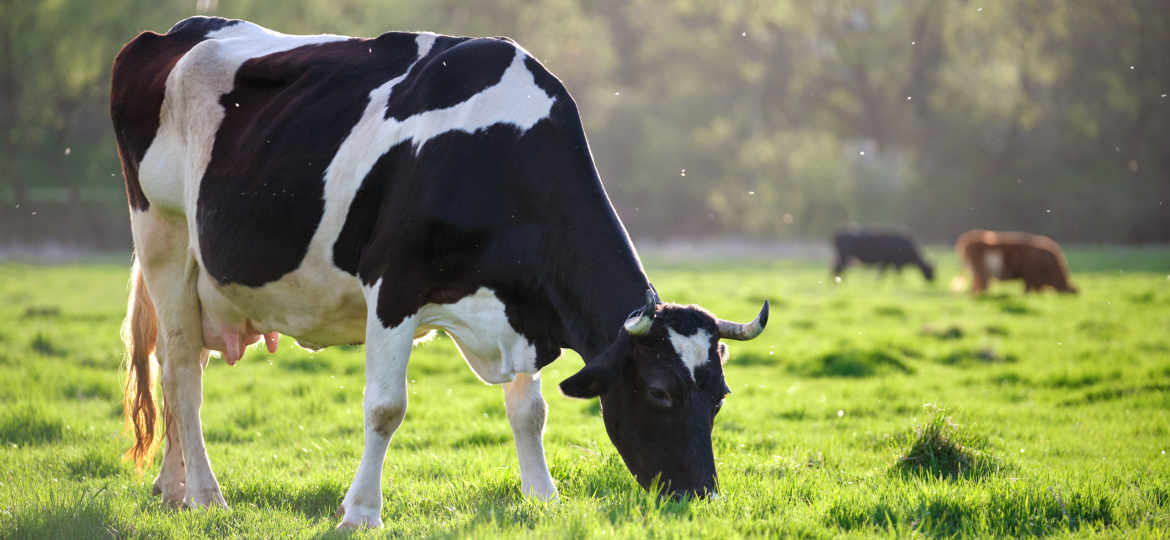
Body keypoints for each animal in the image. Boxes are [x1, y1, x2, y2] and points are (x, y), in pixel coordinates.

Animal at [111, 17, 769, 529]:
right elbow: (385, 407)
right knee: (180, 372)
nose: (702, 496)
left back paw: (170, 491)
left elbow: (530, 411)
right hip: (164, 236)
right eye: (658, 392)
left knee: (180, 363)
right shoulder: (394, 286)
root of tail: (175, 32)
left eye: (720, 394)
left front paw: (543, 498)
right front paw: (361, 513)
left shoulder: (520, 307)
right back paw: (205, 496)